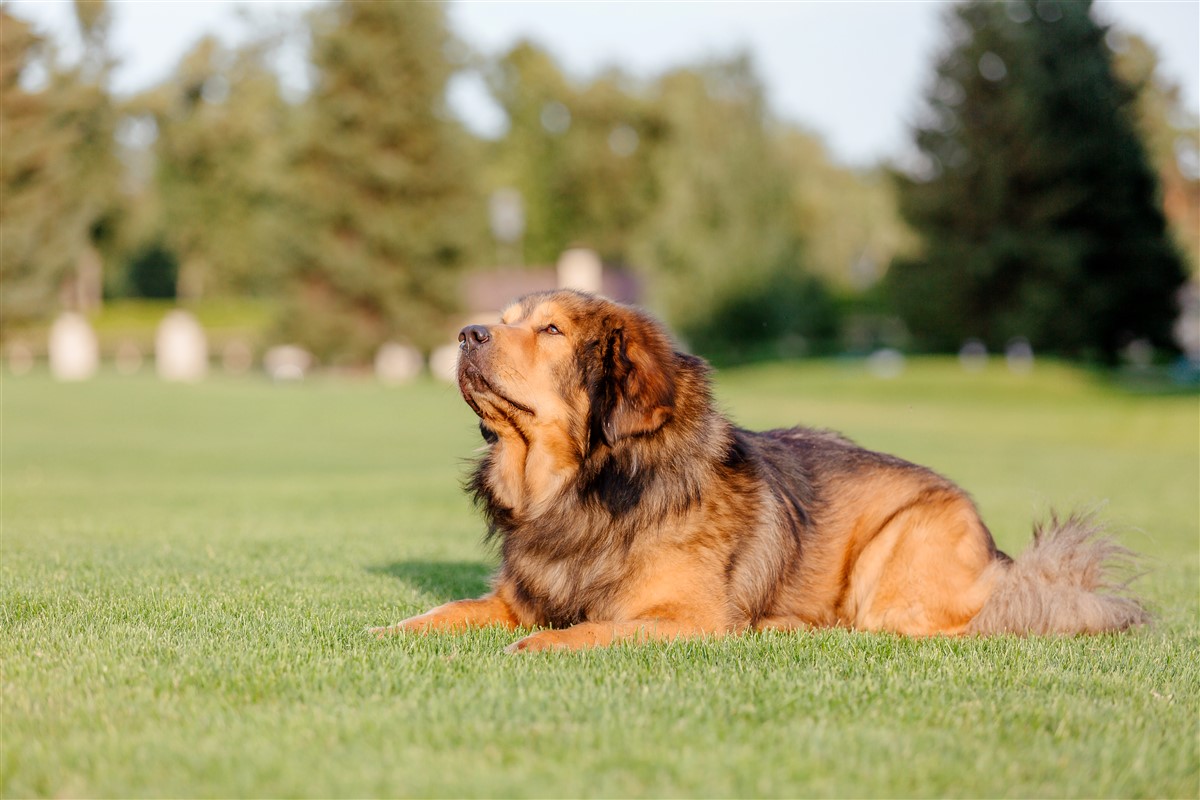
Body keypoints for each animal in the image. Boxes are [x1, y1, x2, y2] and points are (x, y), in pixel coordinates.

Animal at [369, 289, 1147, 652]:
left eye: (552, 330)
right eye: (503, 319)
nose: (466, 334)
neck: (587, 491)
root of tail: (1004, 558)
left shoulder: (686, 620)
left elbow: (589, 629)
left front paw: (538, 647)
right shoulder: (514, 597)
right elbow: (442, 612)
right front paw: (382, 633)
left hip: (898, 552)